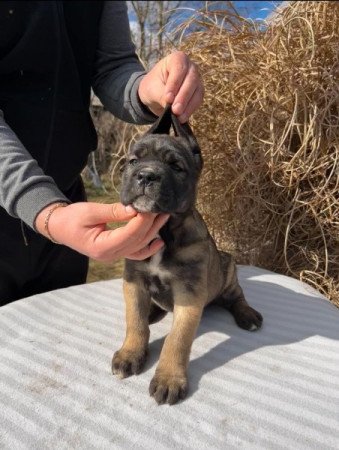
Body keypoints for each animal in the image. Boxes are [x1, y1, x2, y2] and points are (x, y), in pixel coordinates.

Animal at [113, 105, 264, 404]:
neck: (163, 231)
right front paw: (130, 353)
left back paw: (247, 315)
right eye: (133, 161)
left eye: (176, 167)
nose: (146, 175)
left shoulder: (189, 293)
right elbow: (135, 321)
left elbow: (177, 339)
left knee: (236, 297)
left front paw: (169, 378)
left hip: (228, 269)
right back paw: (152, 312)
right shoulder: (133, 280)